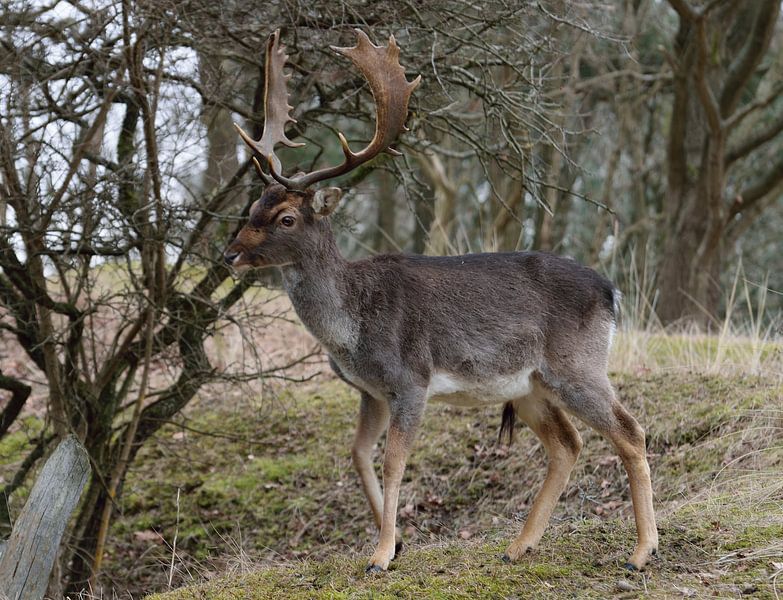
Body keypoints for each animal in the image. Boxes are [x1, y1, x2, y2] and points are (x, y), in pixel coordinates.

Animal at [223, 29, 658, 574]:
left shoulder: (411, 378)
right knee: (567, 443)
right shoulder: (370, 391)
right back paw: (520, 545)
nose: (229, 253)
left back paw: (641, 551)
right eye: (253, 205)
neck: (352, 325)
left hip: (578, 364)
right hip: (530, 385)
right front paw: (394, 542)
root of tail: (610, 291)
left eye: (286, 217)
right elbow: (358, 454)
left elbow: (393, 461)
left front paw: (381, 556)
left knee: (630, 430)